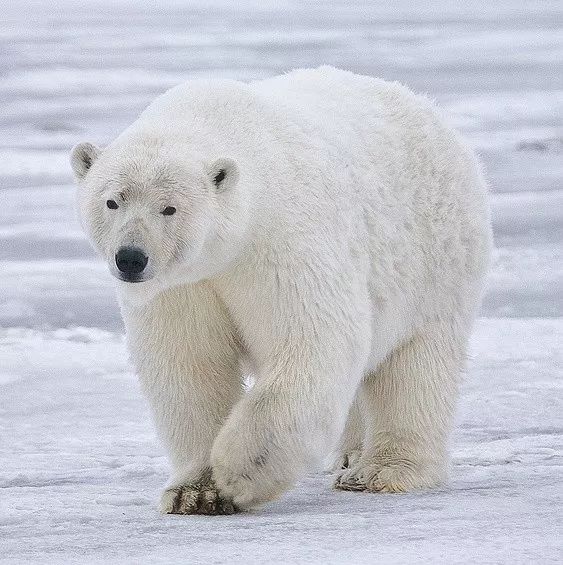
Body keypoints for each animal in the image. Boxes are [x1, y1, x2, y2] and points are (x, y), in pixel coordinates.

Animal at [71, 65, 494, 512]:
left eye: (169, 208)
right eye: (112, 201)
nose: (131, 258)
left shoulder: (281, 240)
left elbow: (312, 339)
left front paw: (238, 472)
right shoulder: (183, 285)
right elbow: (190, 364)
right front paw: (195, 492)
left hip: (435, 261)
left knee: (416, 366)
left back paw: (382, 471)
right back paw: (350, 455)